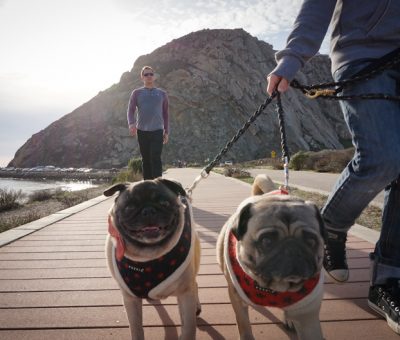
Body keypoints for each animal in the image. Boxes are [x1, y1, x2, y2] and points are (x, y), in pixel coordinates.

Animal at [104, 178, 202, 340]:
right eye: (129, 207)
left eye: (164, 202)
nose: (148, 210)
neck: (149, 255)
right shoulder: (130, 300)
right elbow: (136, 328)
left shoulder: (185, 295)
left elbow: (188, 329)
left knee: (195, 284)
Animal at [216, 175, 324, 340]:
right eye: (266, 241)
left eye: (310, 241)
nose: (292, 249)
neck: (272, 289)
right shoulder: (238, 301)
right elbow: (244, 326)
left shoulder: (308, 317)